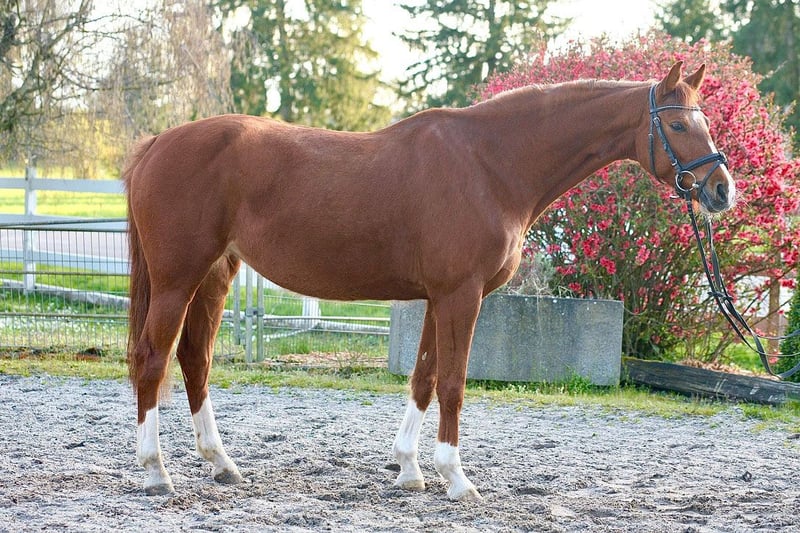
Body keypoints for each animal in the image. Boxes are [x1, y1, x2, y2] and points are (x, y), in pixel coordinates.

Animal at [124, 61, 735, 500]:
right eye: (677, 124)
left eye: (705, 121)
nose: (722, 190)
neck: (490, 164)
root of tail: (157, 143)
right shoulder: (461, 296)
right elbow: (454, 384)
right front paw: (457, 479)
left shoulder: (438, 298)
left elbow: (422, 378)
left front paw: (410, 470)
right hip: (178, 280)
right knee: (152, 360)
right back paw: (156, 472)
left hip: (214, 275)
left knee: (195, 359)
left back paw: (222, 464)